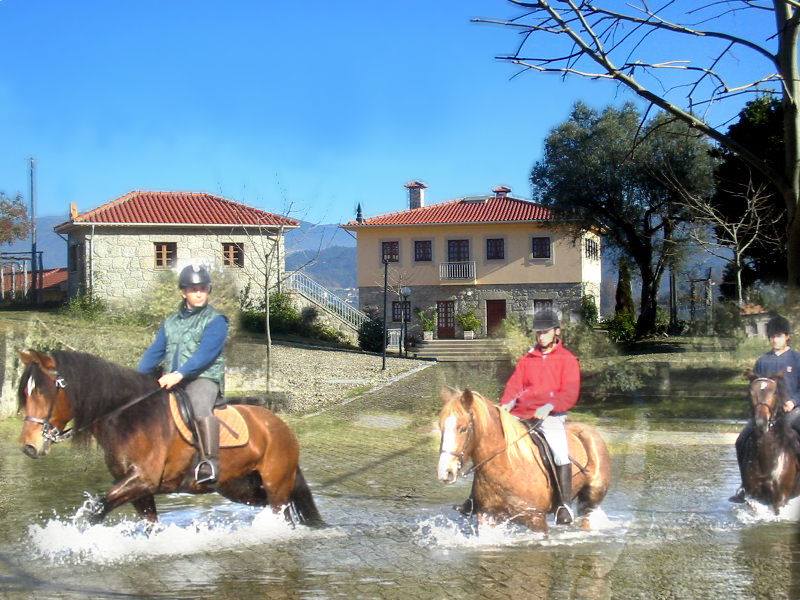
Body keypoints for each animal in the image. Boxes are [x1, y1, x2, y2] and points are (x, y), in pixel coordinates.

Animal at [16, 350, 322, 528]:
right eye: (26, 393)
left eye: (42, 391)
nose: (29, 446)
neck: (130, 417)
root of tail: (280, 426)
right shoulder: (139, 490)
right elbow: (149, 525)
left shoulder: (142, 480)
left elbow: (96, 510)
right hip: (240, 487)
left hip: (276, 485)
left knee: (283, 512)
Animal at [434, 390, 608, 536]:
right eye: (441, 427)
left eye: (463, 428)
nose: (445, 472)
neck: (507, 466)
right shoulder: (487, 516)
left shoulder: (536, 519)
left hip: (590, 501)